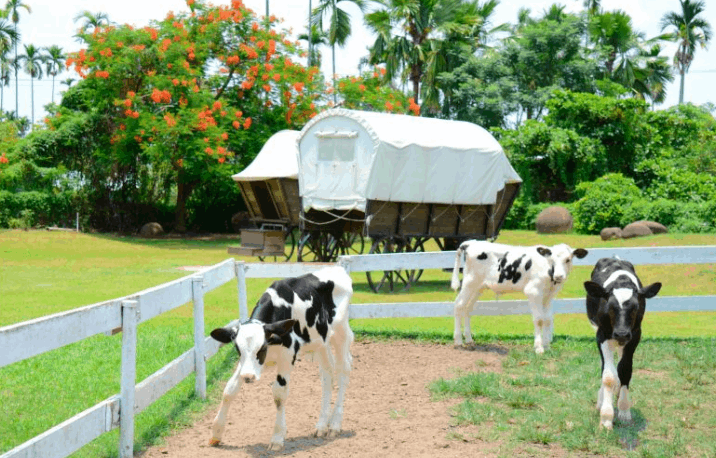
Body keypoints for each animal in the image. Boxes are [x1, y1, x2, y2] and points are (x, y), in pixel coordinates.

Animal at [208, 266, 354, 450]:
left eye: (262, 347)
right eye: (237, 348)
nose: (248, 377)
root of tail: (338, 268)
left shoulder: (288, 355)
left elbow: (279, 394)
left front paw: (277, 438)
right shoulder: (248, 364)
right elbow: (229, 389)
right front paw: (216, 433)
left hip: (341, 333)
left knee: (343, 371)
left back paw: (334, 424)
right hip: (321, 341)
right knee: (327, 373)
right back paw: (321, 426)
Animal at [454, 242, 588, 352]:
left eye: (568, 259)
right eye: (552, 259)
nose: (559, 276)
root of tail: (470, 243)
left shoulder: (549, 296)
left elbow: (547, 319)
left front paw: (547, 346)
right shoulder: (533, 292)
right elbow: (539, 320)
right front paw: (539, 348)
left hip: (478, 287)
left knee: (467, 308)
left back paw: (469, 340)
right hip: (470, 282)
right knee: (459, 305)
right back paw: (458, 341)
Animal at [584, 258, 664, 430]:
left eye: (635, 308)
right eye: (610, 307)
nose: (621, 333)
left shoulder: (634, 336)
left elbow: (625, 370)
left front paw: (624, 411)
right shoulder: (601, 335)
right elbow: (608, 376)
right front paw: (606, 418)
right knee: (605, 367)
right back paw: (601, 400)